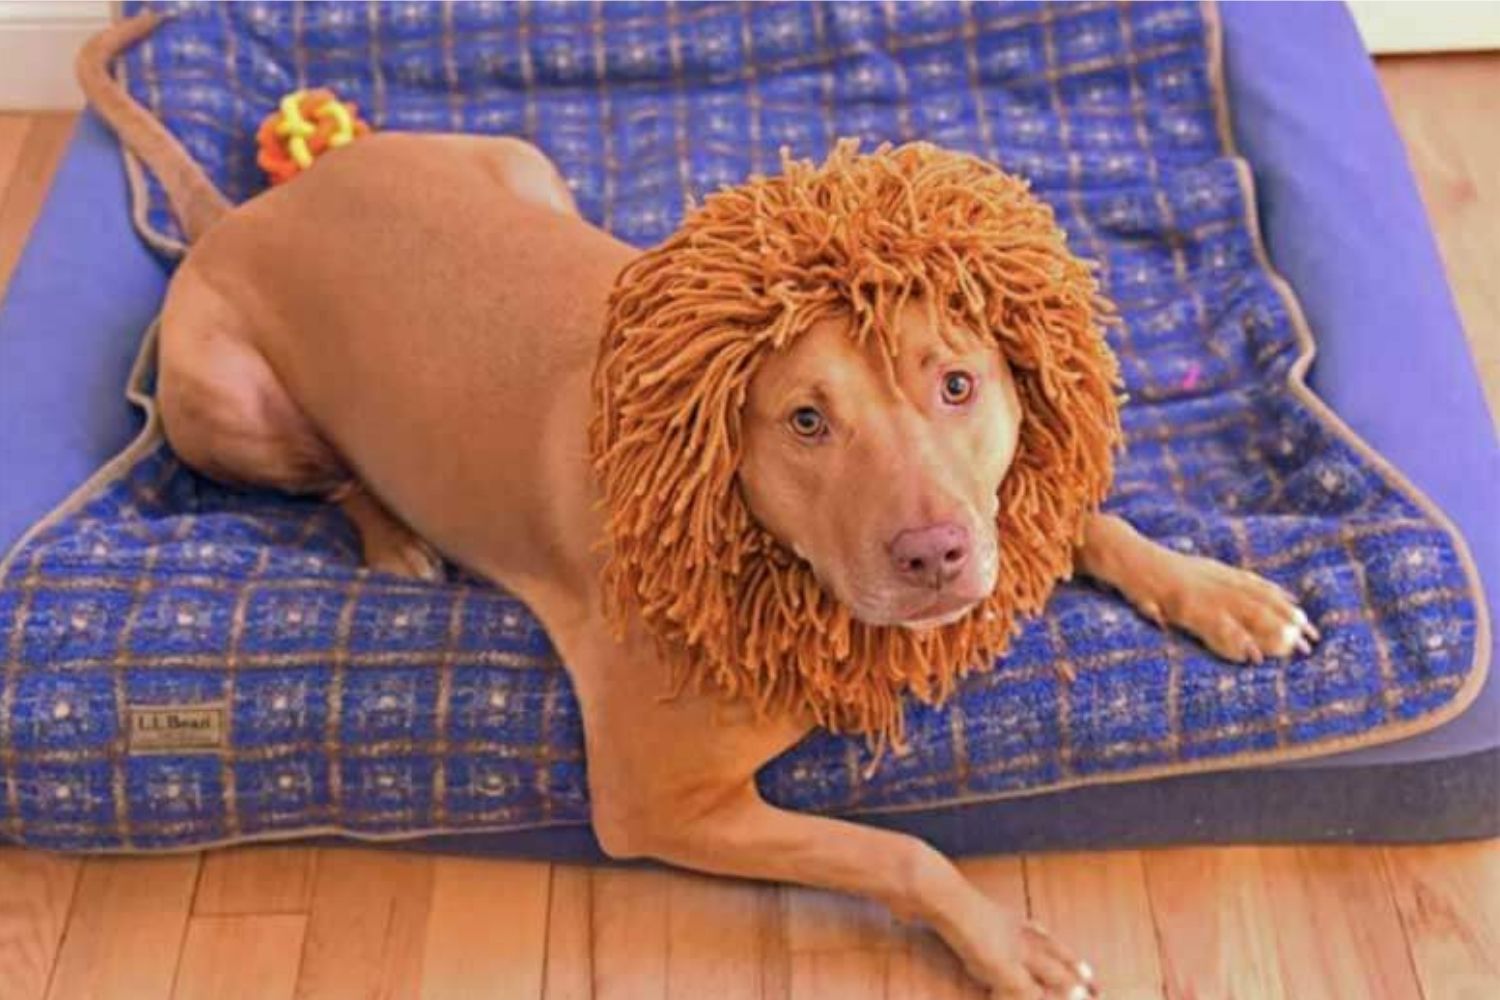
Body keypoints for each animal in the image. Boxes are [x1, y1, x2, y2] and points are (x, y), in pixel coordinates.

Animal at [87, 15, 1320, 1000]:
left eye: (960, 384)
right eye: (806, 422)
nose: (933, 554)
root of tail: (240, 214)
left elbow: (1081, 519)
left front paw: (1223, 594)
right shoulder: (659, 804)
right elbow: (898, 854)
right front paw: (1006, 943)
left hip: (523, 168)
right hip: (225, 402)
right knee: (328, 472)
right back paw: (394, 537)